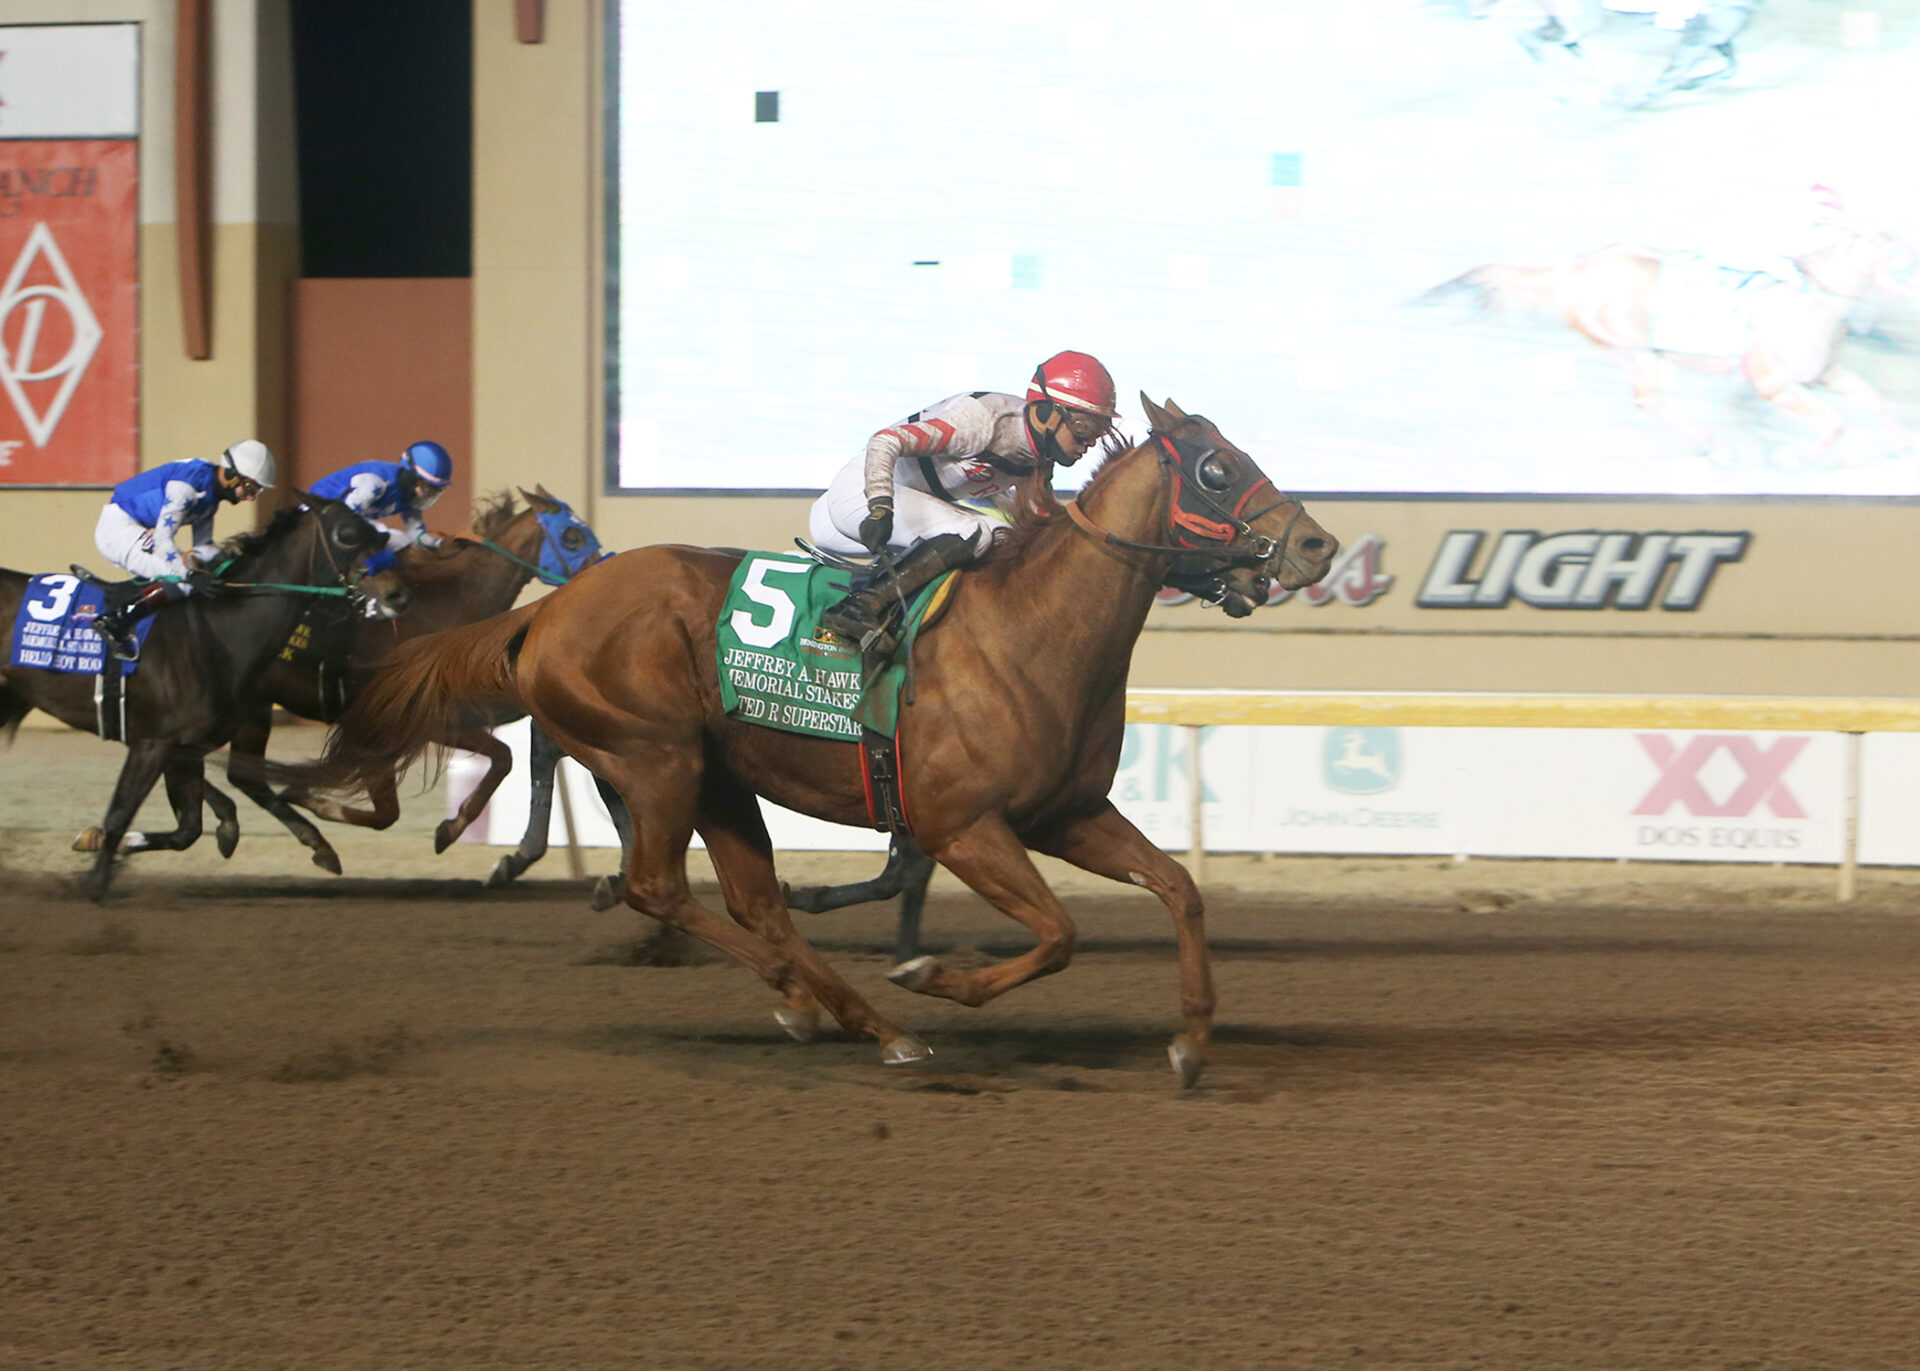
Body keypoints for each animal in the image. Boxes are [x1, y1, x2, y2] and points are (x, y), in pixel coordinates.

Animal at [0, 497, 400, 897]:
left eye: (378, 532)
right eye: (347, 535)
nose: (396, 593)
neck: (216, 631)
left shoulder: (185, 748)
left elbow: (187, 829)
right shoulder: (153, 743)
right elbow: (120, 815)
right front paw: (94, 885)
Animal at [221, 487, 605, 875]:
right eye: (573, 537)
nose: (599, 579)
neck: (441, 608)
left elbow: (501, 758)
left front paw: (452, 828)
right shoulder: (395, 724)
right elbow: (388, 810)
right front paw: (310, 797)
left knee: (243, 775)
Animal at [298, 396, 1337, 1087]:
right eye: (1215, 468)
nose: (1317, 546)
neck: (1033, 630)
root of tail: (546, 610)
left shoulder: (1067, 813)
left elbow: (1180, 889)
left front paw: (1192, 1040)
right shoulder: (964, 825)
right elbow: (1058, 933)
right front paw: (933, 973)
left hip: (718, 778)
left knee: (753, 901)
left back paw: (861, 1019)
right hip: (656, 758)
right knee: (659, 887)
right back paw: (811, 995)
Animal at [1420, 224, 1919, 464]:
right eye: (1894, 252)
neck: (1812, 295)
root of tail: (1576, 271)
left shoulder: (1825, 374)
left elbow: (1870, 400)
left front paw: (1898, 445)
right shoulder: (1775, 385)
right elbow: (1835, 423)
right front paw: (1793, 458)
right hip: (1637, 351)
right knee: (1650, 400)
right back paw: (1719, 449)